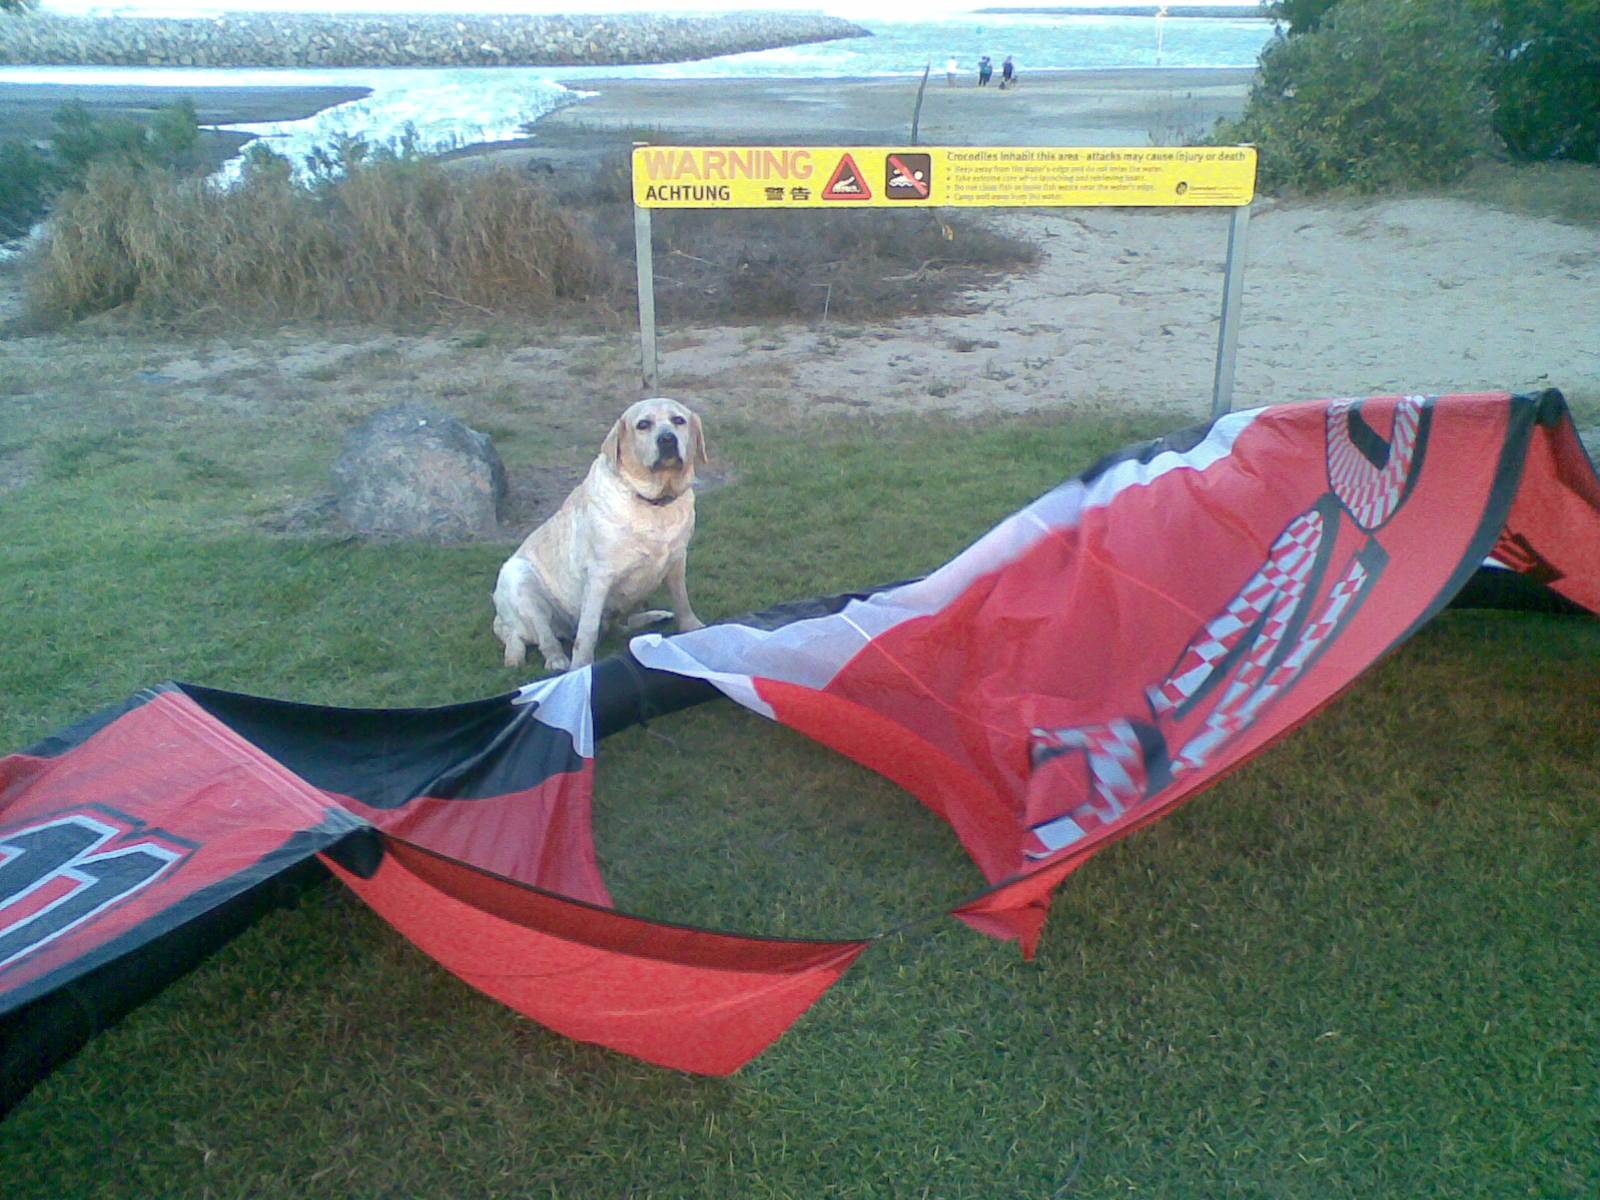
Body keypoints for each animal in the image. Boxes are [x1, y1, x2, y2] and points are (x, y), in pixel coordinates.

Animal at [493, 398, 707, 672]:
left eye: (678, 420)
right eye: (643, 425)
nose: (667, 439)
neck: (652, 503)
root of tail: (502, 622)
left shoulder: (678, 557)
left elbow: (682, 599)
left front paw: (692, 627)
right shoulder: (599, 576)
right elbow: (587, 631)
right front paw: (581, 667)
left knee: (623, 624)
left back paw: (654, 616)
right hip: (519, 580)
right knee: (542, 637)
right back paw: (555, 659)